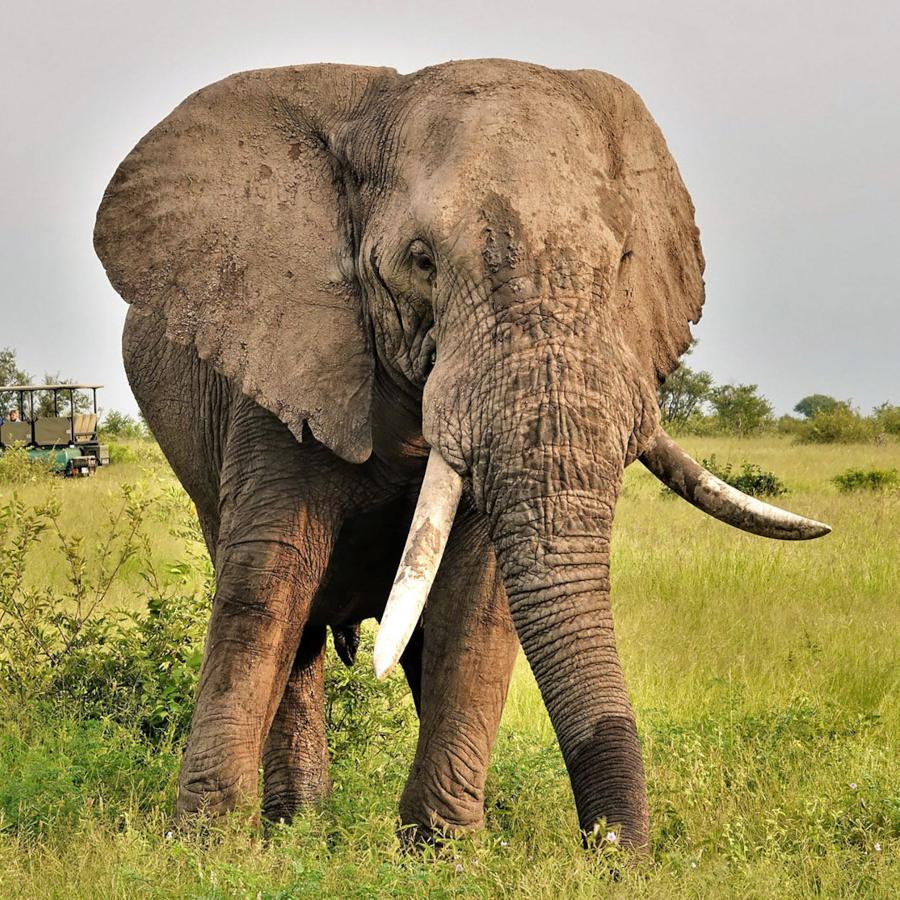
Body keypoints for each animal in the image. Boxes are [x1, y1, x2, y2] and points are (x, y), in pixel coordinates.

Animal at [94, 59, 830, 848]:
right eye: (421, 261)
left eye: (622, 264)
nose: (611, 852)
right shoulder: (278, 367)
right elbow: (268, 580)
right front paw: (209, 848)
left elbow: (475, 603)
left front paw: (443, 851)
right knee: (296, 618)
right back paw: (300, 828)